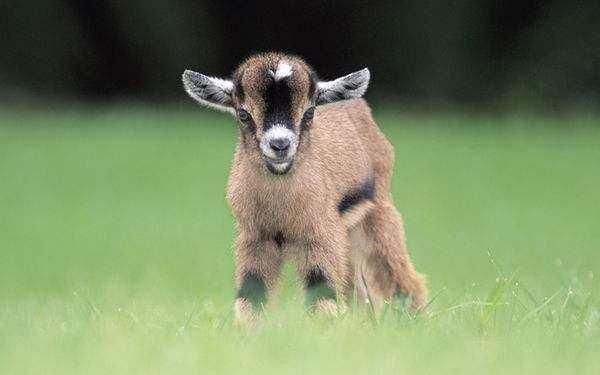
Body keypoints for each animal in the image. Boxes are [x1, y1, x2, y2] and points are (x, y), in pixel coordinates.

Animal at [182, 53, 426, 322]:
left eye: (309, 112)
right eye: (243, 114)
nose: (280, 145)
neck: (280, 210)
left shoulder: (320, 235)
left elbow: (322, 292)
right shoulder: (256, 238)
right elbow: (252, 293)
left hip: (377, 214)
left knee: (402, 277)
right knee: (358, 291)